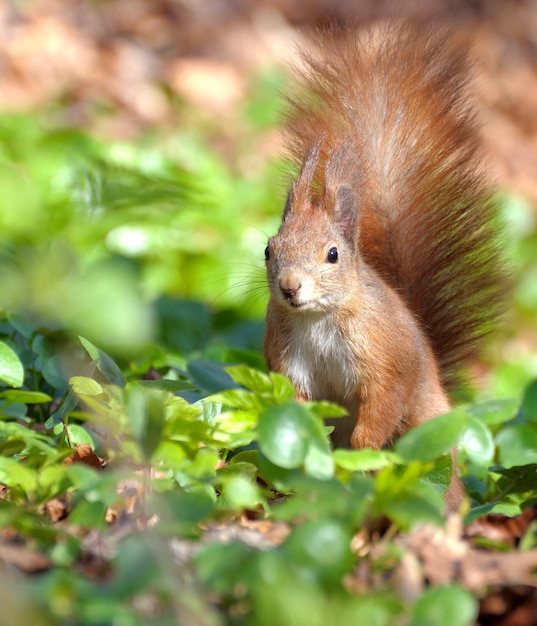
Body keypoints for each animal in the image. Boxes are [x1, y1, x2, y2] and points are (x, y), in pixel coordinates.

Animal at [262, 22, 504, 504]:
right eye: (268, 249)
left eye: (332, 254)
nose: (290, 287)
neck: (319, 319)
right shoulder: (286, 359)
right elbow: (295, 406)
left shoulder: (385, 359)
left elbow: (382, 403)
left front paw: (362, 451)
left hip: (426, 436)